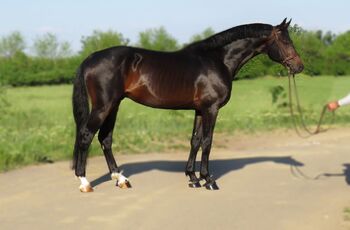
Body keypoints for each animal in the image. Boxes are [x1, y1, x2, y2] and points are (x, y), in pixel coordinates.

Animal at [72, 18, 304, 191]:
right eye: (285, 42)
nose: (299, 66)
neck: (217, 59)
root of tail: (91, 58)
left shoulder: (200, 110)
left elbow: (195, 140)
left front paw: (193, 178)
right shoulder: (211, 109)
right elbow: (208, 142)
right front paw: (208, 180)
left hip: (114, 105)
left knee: (105, 138)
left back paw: (120, 179)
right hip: (104, 106)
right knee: (86, 135)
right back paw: (84, 182)